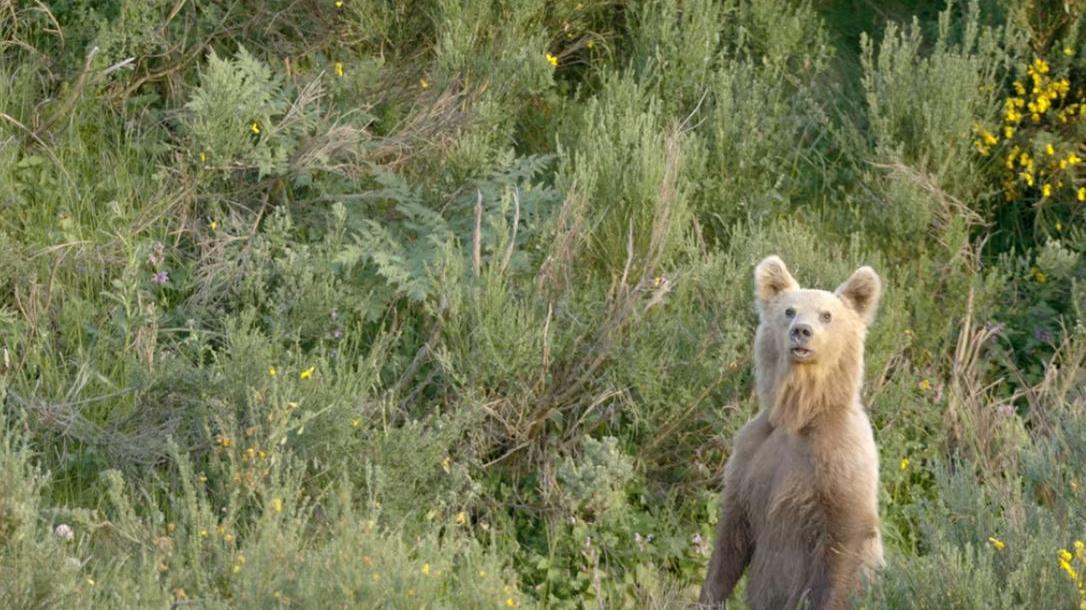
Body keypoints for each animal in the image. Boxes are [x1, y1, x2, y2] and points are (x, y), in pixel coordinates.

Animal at [699, 255, 886, 607]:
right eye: (789, 310)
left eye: (826, 315)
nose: (801, 331)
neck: (797, 415)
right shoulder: (752, 454)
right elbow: (730, 538)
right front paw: (709, 596)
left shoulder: (838, 456)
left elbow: (842, 542)